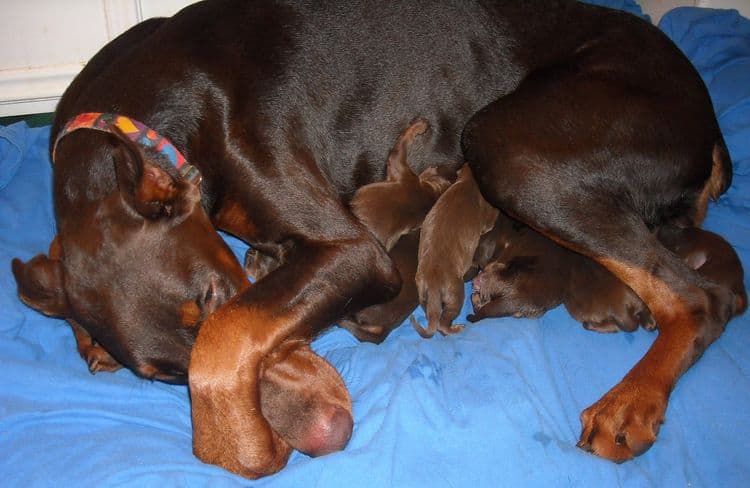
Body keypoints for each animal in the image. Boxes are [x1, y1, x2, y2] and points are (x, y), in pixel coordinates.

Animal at [414, 166, 502, 338]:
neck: (468, 182)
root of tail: (433, 282)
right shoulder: (488, 220)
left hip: (422, 296)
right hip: (455, 295)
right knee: (442, 323)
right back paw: (456, 328)